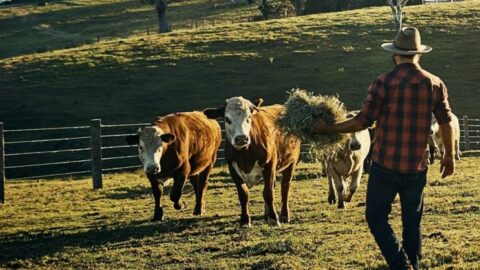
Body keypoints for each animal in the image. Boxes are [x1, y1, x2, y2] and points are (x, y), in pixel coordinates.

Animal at [202, 97, 300, 228]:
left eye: (249, 117)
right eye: (227, 119)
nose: (241, 138)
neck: (245, 153)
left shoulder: (269, 165)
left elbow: (268, 193)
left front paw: (274, 218)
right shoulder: (233, 169)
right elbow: (243, 195)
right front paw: (244, 220)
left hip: (291, 162)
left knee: (285, 186)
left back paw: (284, 215)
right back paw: (266, 215)